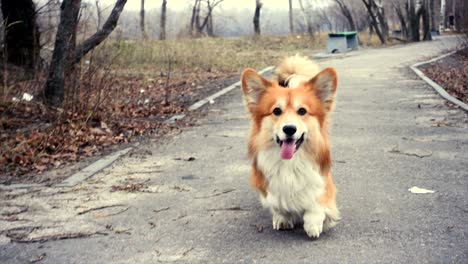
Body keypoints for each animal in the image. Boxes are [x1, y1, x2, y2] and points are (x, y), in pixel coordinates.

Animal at [241, 55, 340, 237]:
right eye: (276, 111)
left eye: (302, 111)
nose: (289, 129)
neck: (291, 163)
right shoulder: (267, 186)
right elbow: (278, 203)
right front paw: (282, 218)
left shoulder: (322, 182)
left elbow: (317, 203)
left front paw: (313, 224)